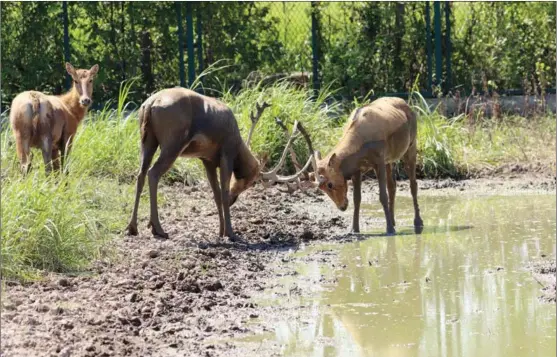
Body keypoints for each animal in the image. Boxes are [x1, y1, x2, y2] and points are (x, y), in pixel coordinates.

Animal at [127, 87, 318, 241]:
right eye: (251, 182)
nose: (235, 198)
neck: (238, 145)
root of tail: (150, 104)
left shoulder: (207, 160)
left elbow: (216, 194)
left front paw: (220, 231)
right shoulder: (226, 154)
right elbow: (224, 193)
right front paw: (231, 233)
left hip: (147, 141)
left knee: (140, 174)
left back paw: (133, 227)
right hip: (173, 143)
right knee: (153, 173)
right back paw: (158, 228)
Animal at [308, 96, 422, 234]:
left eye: (330, 184)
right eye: (321, 188)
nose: (342, 207)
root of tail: (407, 104)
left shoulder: (379, 161)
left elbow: (382, 196)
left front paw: (389, 229)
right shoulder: (358, 169)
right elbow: (357, 198)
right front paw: (354, 229)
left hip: (411, 144)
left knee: (413, 184)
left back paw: (417, 222)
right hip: (390, 159)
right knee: (392, 186)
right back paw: (394, 221)